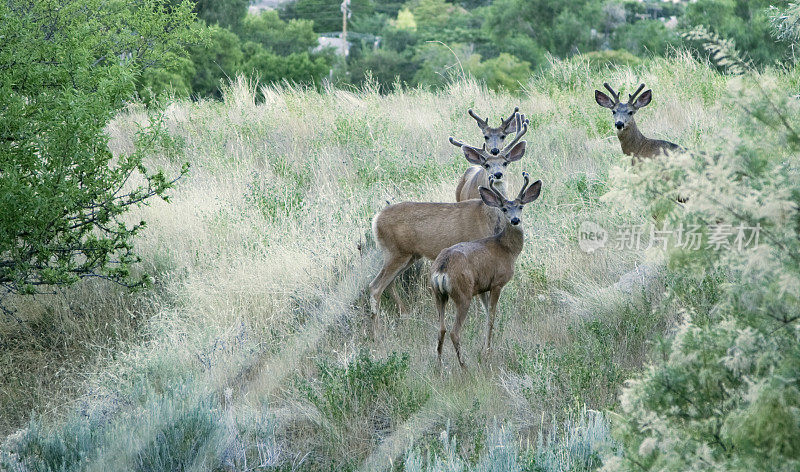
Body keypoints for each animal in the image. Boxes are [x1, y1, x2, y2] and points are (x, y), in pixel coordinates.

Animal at [366, 138, 528, 334]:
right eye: (486, 164)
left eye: (505, 163)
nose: (497, 175)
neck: (487, 217)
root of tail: (376, 219)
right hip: (395, 252)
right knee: (375, 287)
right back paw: (377, 333)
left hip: (409, 256)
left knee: (388, 284)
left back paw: (403, 315)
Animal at [432, 173, 544, 368]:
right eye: (504, 209)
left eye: (520, 206)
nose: (515, 220)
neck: (506, 249)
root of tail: (442, 268)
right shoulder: (497, 282)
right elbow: (491, 317)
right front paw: (487, 351)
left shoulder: (482, 287)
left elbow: (486, 317)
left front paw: (486, 347)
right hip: (463, 294)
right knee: (454, 331)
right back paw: (463, 365)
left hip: (438, 294)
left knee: (441, 328)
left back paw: (439, 365)